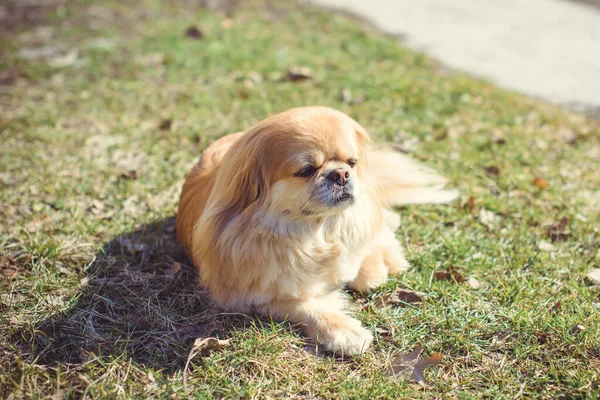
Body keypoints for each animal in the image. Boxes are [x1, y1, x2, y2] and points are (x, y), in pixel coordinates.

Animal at [176, 106, 458, 356]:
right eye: (306, 170)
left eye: (351, 163)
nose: (342, 173)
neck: (317, 231)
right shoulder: (255, 297)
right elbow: (306, 307)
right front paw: (344, 331)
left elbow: (368, 270)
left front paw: (378, 261)